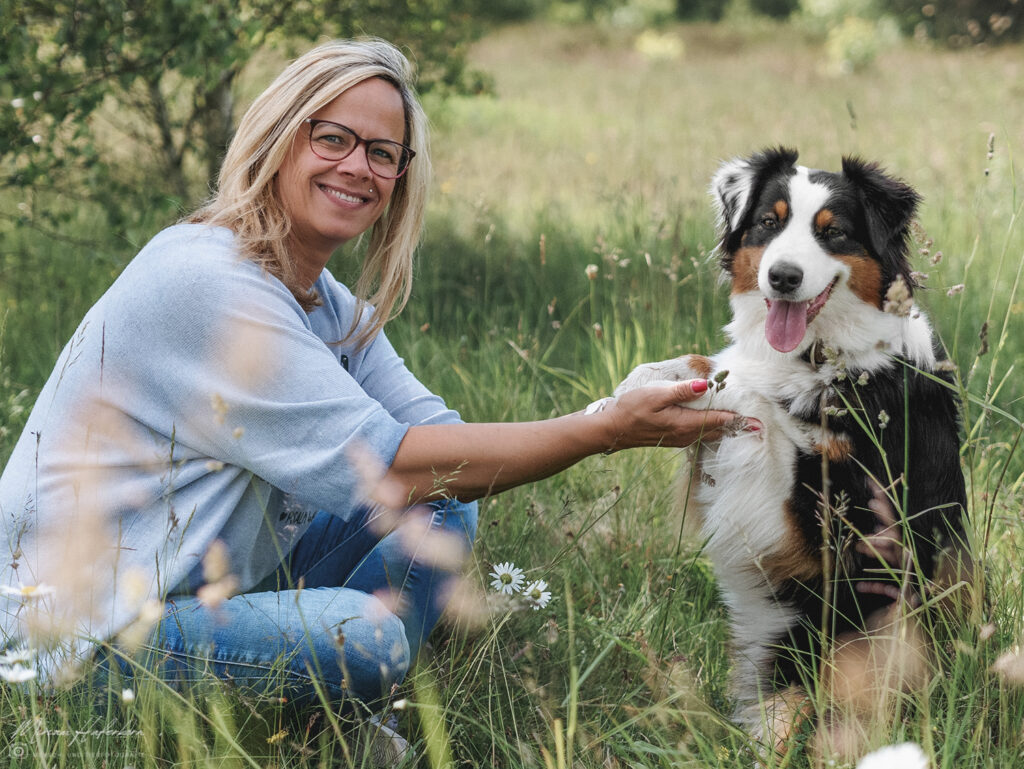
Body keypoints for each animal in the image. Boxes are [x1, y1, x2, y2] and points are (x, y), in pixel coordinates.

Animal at [610, 147, 970, 753]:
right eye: (768, 222)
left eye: (835, 233)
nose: (782, 276)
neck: (821, 351)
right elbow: (717, 367)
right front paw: (642, 381)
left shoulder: (835, 514)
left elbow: (757, 398)